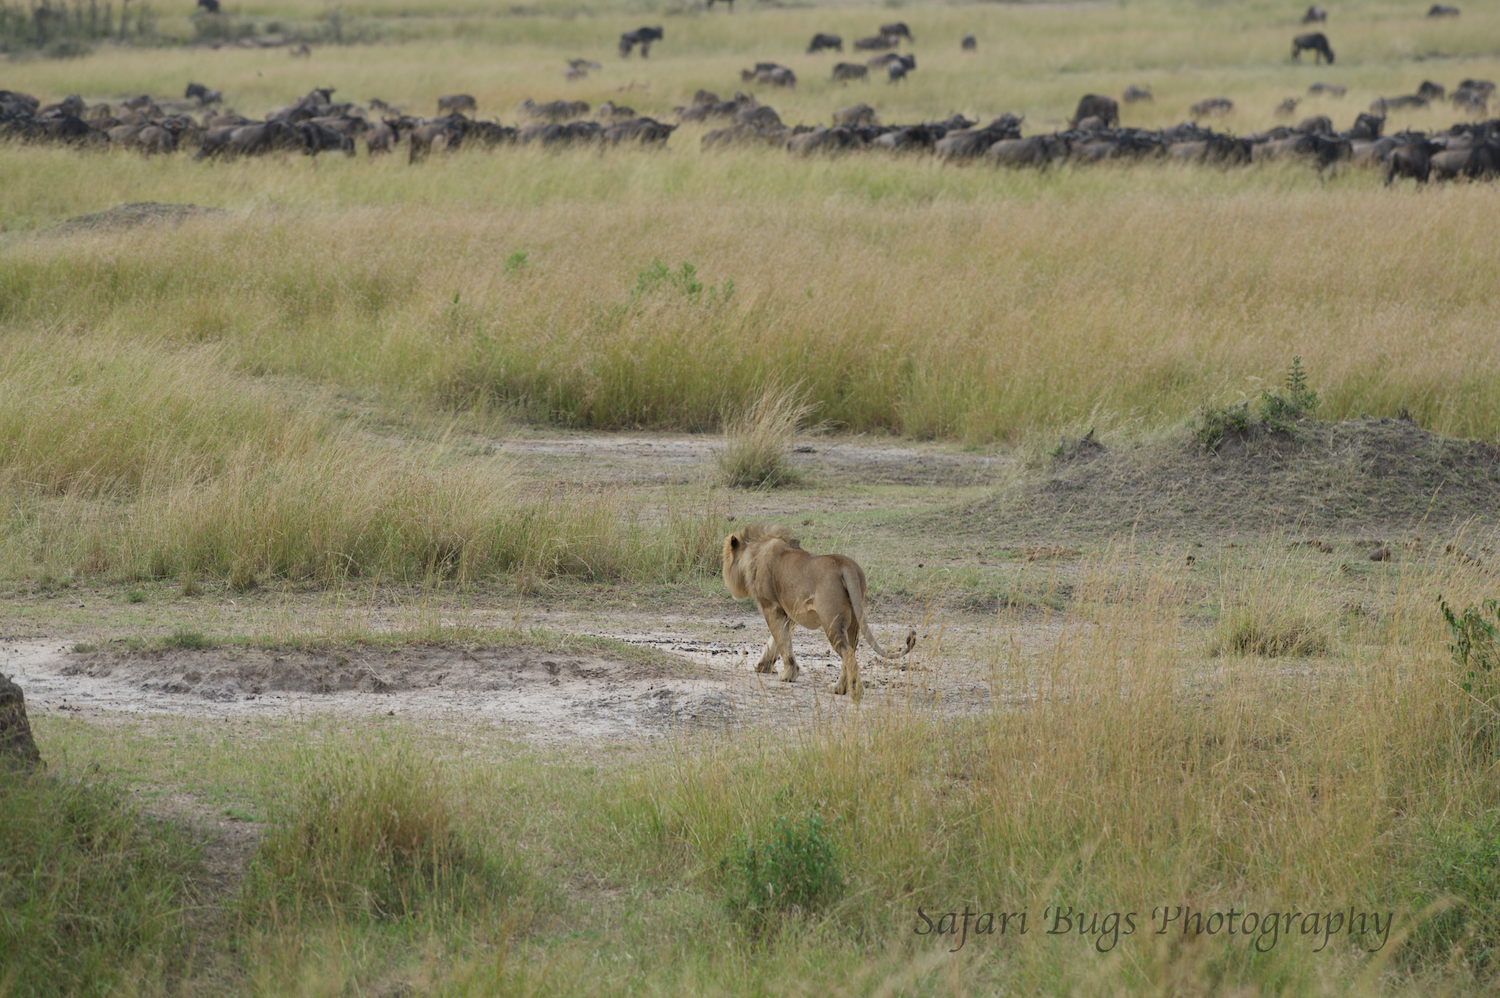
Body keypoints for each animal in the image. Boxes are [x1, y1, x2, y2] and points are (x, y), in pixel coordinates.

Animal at [717, 522, 912, 699]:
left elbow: (782, 641)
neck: (756, 553)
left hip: (830, 621)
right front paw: (764, 665)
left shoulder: (772, 607)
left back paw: (855, 691)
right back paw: (839, 688)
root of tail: (845, 564)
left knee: (847, 652)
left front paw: (787, 675)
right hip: (854, 620)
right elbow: (776, 640)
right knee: (851, 650)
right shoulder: (790, 612)